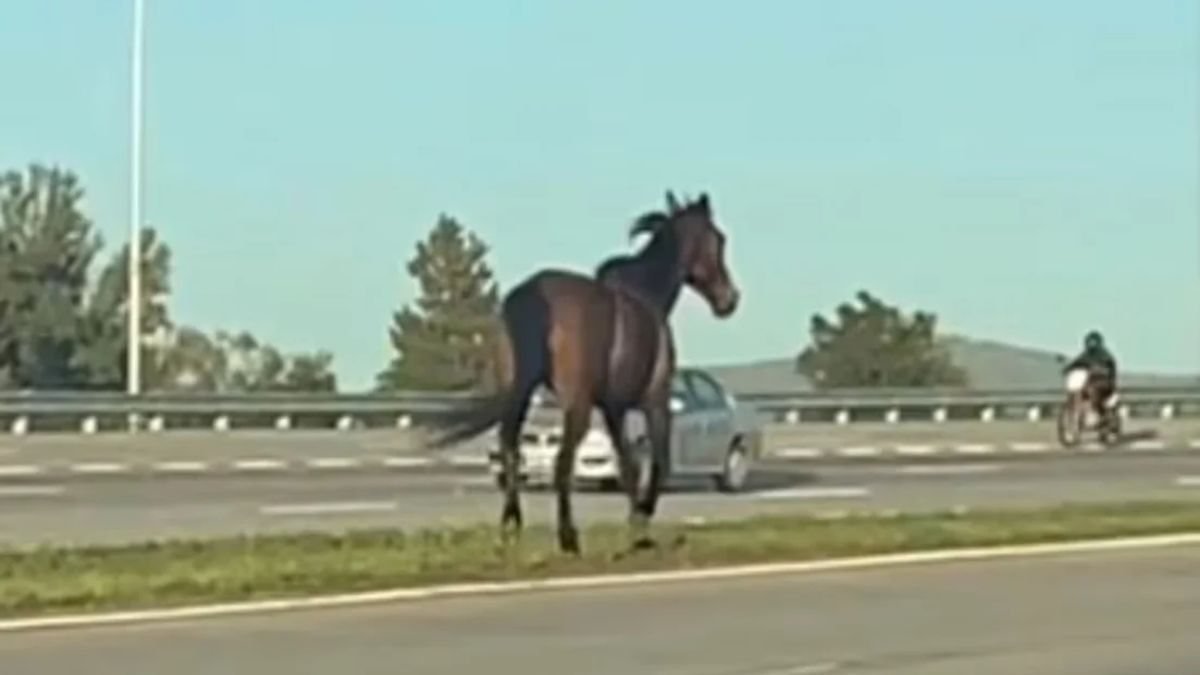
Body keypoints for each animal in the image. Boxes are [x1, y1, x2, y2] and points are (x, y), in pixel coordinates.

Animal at [422, 190, 739, 552]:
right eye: (719, 239)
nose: (729, 300)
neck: (646, 295)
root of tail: (529, 299)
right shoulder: (654, 400)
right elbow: (659, 461)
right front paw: (642, 516)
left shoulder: (614, 409)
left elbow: (628, 465)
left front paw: (636, 523)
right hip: (577, 405)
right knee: (561, 460)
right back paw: (568, 535)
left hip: (520, 392)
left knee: (511, 445)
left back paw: (511, 525)